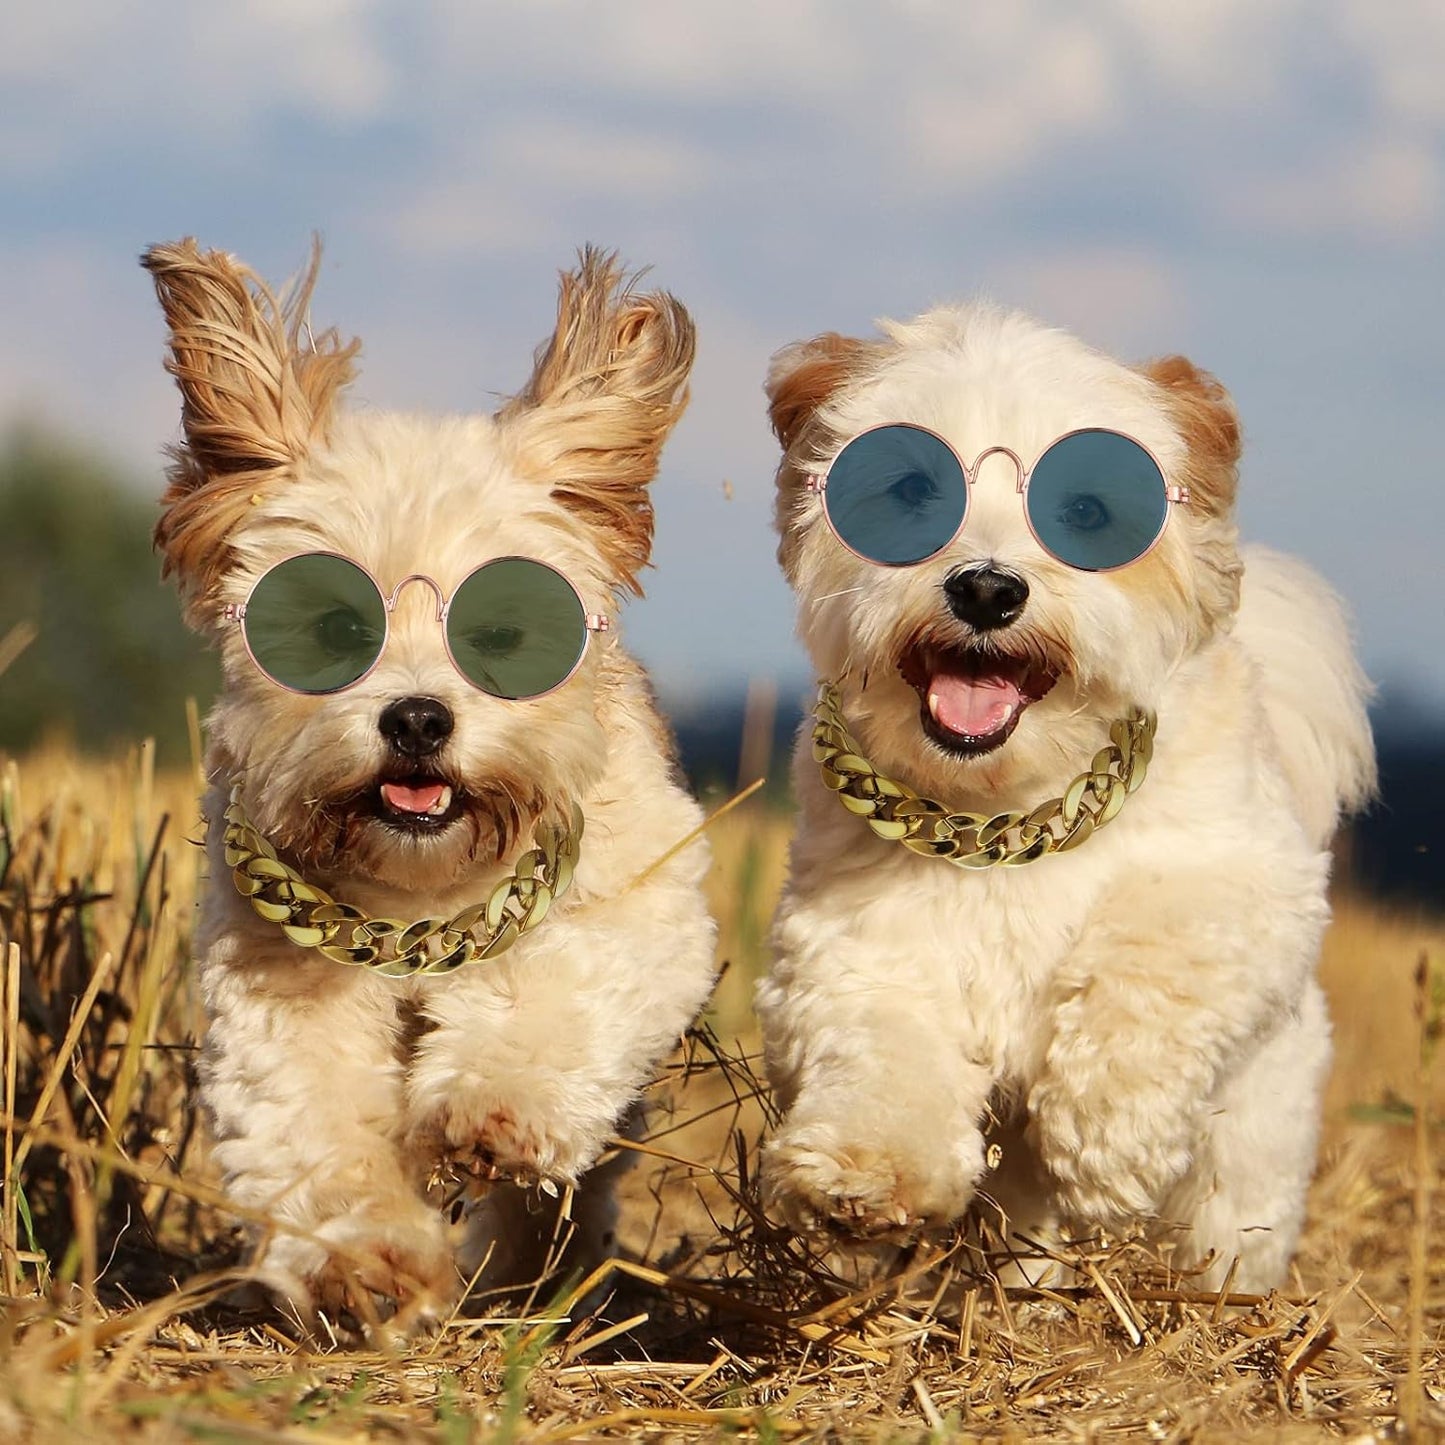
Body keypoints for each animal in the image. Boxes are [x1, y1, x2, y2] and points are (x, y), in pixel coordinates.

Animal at [143, 236, 719, 1329]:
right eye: (337, 626)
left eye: (498, 629)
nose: (416, 717)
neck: (419, 890)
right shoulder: (277, 987)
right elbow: (312, 1123)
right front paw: (365, 1261)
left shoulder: (637, 905)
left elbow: (556, 996)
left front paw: (487, 1110)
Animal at [757, 302, 1375, 1288]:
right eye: (910, 488)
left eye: (1084, 510)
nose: (985, 586)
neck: (1005, 808)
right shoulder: (851, 943)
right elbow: (880, 1042)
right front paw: (864, 1170)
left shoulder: (1244, 890)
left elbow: (1152, 961)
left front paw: (1106, 1130)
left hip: (1248, 1158)